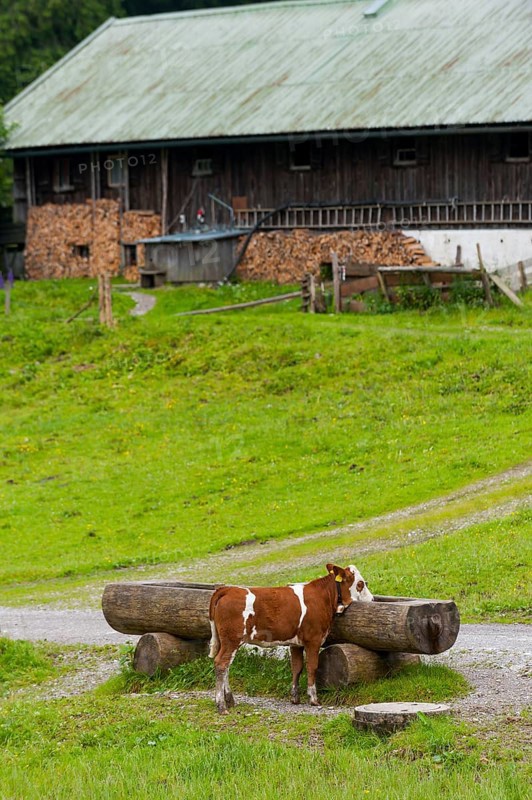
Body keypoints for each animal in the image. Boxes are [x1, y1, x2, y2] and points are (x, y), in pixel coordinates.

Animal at [208, 563, 373, 714]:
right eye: (360, 584)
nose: (372, 599)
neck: (323, 597)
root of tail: (228, 589)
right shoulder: (313, 639)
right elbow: (312, 666)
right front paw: (313, 699)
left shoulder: (296, 643)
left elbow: (297, 667)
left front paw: (295, 697)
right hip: (231, 640)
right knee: (221, 664)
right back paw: (221, 706)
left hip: (227, 641)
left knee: (226, 666)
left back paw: (230, 701)